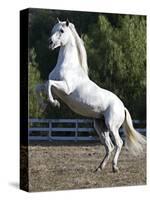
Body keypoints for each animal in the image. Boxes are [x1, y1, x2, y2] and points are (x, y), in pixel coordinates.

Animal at [36, 19, 145, 172]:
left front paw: (54, 103)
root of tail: (122, 107)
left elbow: (49, 84)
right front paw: (43, 105)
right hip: (100, 126)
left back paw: (114, 167)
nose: (50, 43)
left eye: (61, 31)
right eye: (52, 30)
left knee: (119, 143)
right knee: (109, 146)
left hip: (112, 126)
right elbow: (42, 86)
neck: (68, 66)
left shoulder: (65, 88)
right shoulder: (57, 90)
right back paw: (99, 167)